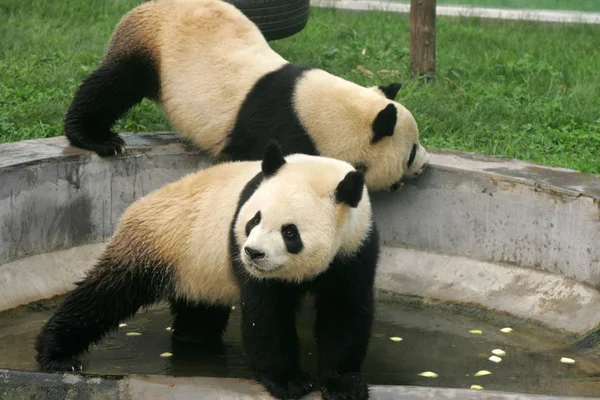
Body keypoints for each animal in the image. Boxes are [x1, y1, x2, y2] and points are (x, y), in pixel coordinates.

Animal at [34, 141, 380, 400]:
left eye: (289, 232)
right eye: (254, 219)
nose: (254, 252)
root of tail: (137, 204)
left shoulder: (356, 246)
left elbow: (344, 311)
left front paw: (343, 384)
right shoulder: (243, 254)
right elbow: (265, 314)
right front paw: (290, 381)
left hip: (195, 267)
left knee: (199, 311)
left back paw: (194, 338)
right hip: (159, 241)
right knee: (107, 293)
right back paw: (57, 354)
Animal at [64, 0, 432, 192]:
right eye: (411, 152)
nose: (425, 165)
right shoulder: (280, 131)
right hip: (150, 48)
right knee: (111, 87)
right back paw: (99, 140)